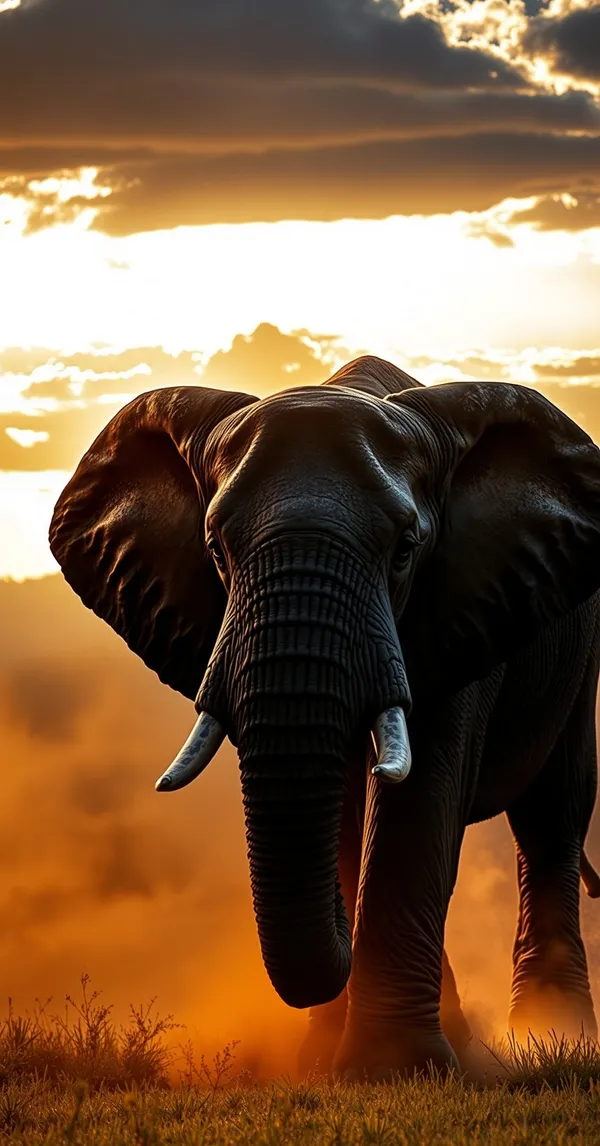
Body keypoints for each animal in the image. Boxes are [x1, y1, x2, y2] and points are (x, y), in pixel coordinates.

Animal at [49, 354, 600, 1079]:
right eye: (215, 550)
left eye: (406, 549)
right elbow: (344, 806)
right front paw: (322, 1066)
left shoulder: (457, 600)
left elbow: (420, 797)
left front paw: (395, 1069)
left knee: (553, 815)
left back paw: (555, 1037)